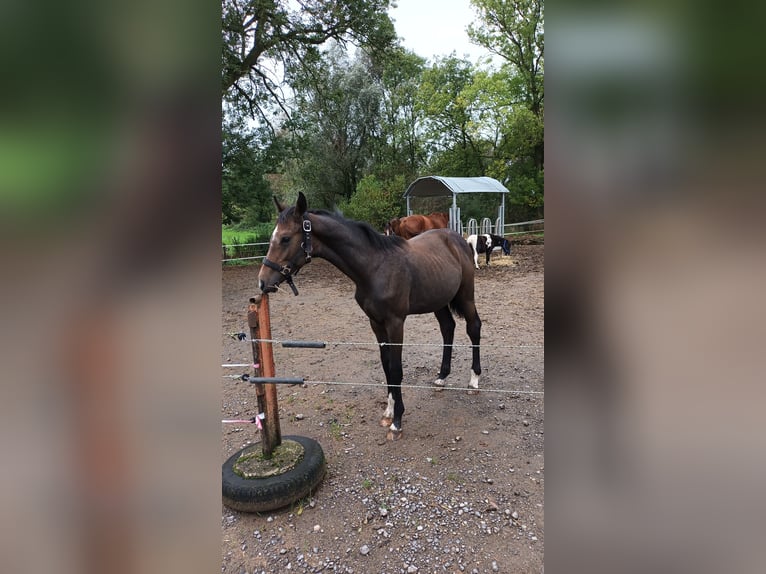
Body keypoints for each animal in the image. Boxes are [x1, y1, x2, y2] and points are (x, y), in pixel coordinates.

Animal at [260, 194, 484, 440]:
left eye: (285, 238)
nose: (263, 281)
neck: (374, 267)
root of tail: (458, 239)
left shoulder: (395, 323)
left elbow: (396, 369)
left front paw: (397, 421)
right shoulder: (376, 323)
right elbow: (386, 366)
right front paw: (389, 411)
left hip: (465, 295)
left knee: (474, 327)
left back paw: (474, 380)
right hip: (439, 301)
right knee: (448, 328)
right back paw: (442, 376)